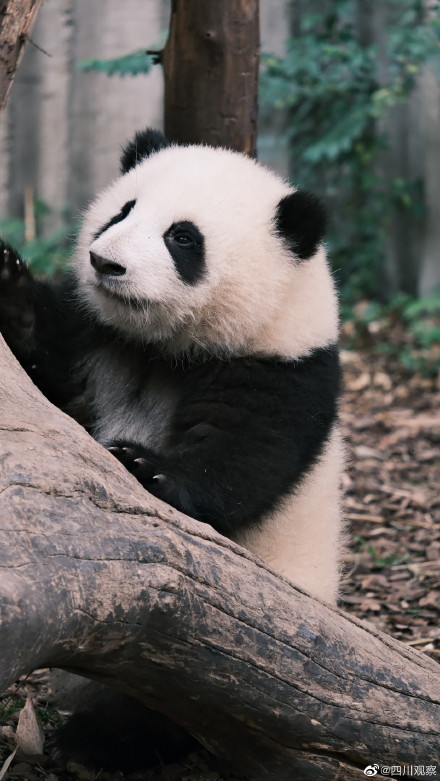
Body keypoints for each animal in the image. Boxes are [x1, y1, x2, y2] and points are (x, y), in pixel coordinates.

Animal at [0, 128, 344, 768]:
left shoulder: (284, 369)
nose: (106, 262)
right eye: (123, 210)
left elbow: (243, 454)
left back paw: (102, 739)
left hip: (239, 650)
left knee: (185, 695)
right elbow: (52, 369)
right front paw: (8, 282)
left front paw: (145, 467)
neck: (166, 347)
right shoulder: (98, 338)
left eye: (182, 237)